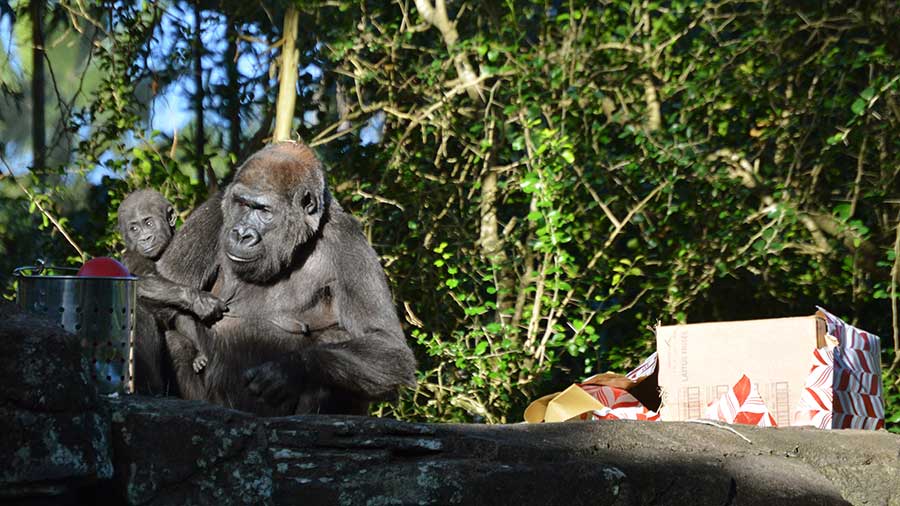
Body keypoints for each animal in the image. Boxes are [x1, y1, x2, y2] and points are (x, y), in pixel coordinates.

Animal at [118, 190, 225, 376]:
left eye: (149, 223)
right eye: (134, 229)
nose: (145, 238)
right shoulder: (132, 255)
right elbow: (144, 281)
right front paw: (200, 300)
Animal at [145, 141, 418, 416]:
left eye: (264, 210)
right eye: (242, 204)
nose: (241, 234)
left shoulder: (349, 240)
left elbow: (388, 347)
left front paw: (290, 369)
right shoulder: (212, 212)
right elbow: (152, 285)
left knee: (334, 348)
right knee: (175, 337)